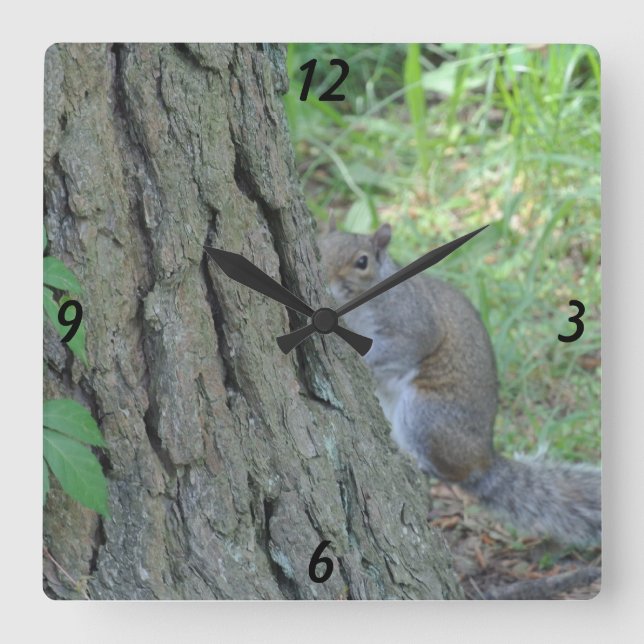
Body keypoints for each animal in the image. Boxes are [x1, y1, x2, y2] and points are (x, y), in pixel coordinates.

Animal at [318, 220, 601, 547]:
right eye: (321, 245)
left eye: (362, 262)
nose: (326, 278)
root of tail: (484, 460)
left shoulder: (412, 322)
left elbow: (400, 348)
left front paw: (362, 357)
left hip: (426, 413)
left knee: (449, 472)